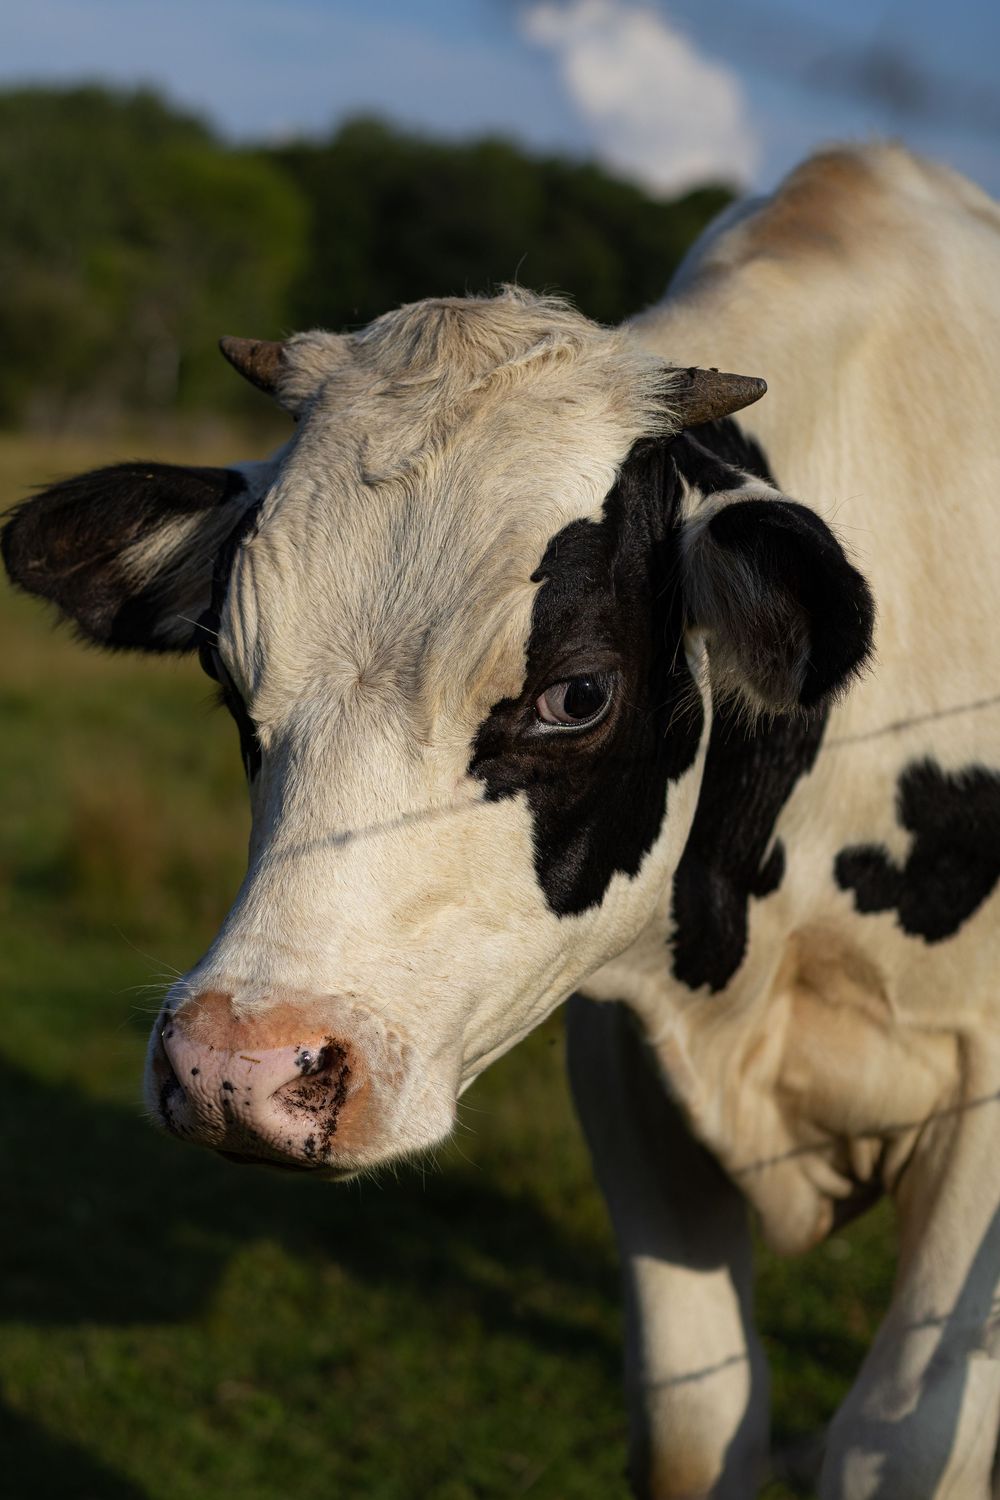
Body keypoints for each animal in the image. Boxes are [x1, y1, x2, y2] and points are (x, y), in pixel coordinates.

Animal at [5, 141, 1000, 1498]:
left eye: (576, 694)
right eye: (224, 668)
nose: (237, 1068)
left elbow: (900, 1437)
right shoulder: (622, 1061)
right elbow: (696, 1424)